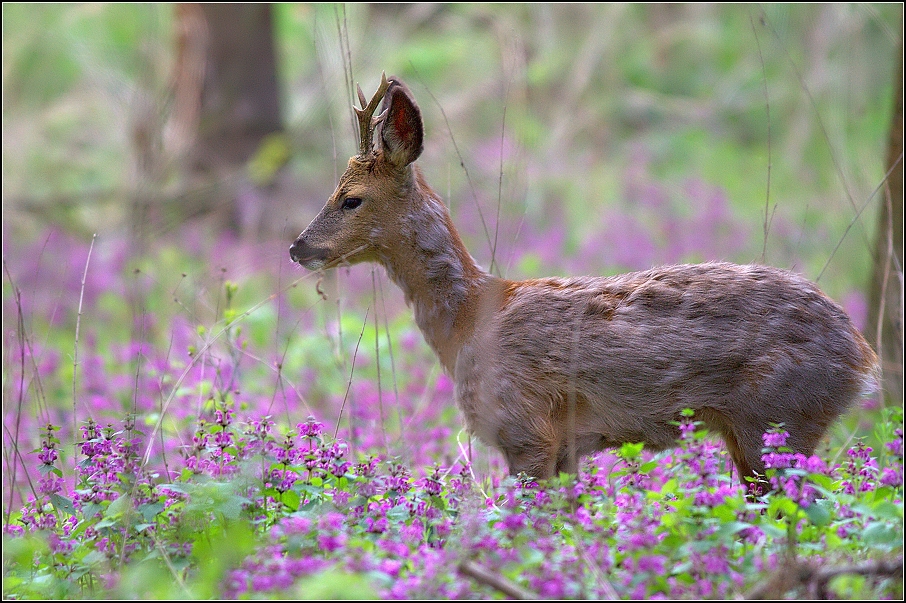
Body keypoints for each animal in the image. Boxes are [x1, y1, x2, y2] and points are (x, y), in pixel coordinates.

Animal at [288, 73, 876, 490]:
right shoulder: (567, 446)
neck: (468, 321)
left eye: (351, 198)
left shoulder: (524, 429)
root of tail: (861, 355)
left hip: (776, 418)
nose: (298, 247)